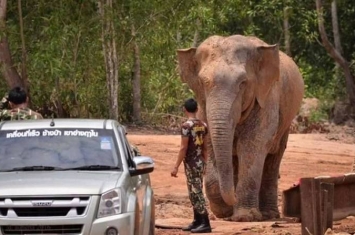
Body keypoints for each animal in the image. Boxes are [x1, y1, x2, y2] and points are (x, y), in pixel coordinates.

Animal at [178, 34, 306, 221]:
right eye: (202, 82)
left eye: (243, 83)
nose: (234, 198)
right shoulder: (203, 107)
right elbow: (210, 144)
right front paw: (224, 212)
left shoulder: (266, 98)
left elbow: (252, 146)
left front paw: (246, 217)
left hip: (286, 123)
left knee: (273, 158)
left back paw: (269, 214)